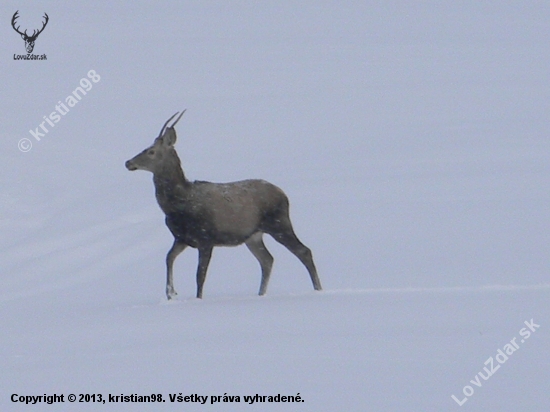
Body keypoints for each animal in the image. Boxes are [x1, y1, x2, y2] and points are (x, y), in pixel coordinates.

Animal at [125, 111, 324, 300]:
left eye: (151, 151)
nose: (128, 162)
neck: (178, 206)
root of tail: (284, 194)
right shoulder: (181, 238)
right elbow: (168, 258)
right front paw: (171, 293)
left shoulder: (206, 238)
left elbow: (200, 276)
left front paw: (197, 298)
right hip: (253, 235)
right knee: (267, 259)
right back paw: (261, 294)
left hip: (279, 223)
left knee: (303, 251)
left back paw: (318, 289)